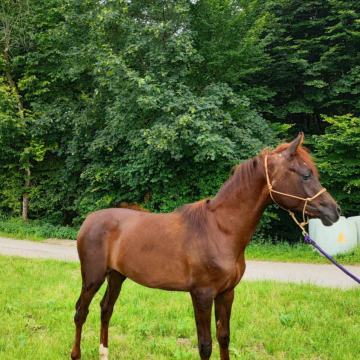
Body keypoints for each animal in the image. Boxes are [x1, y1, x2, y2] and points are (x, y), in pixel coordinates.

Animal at [70, 134, 340, 358]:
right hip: (93, 277)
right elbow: (205, 345)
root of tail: (89, 220)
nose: (334, 211)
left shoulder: (226, 293)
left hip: (116, 276)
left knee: (106, 309)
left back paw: (104, 352)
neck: (220, 230)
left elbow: (224, 338)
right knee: (81, 311)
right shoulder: (201, 294)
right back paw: (76, 354)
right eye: (306, 174)